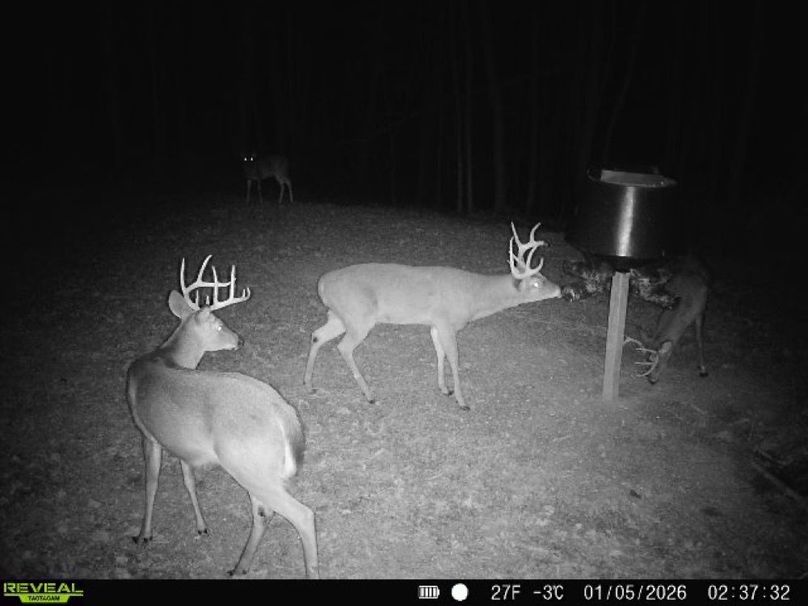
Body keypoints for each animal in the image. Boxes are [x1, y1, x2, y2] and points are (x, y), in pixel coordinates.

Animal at [126, 255, 318, 578]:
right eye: (219, 325)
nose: (240, 340)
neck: (165, 356)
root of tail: (284, 413)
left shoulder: (146, 432)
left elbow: (151, 483)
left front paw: (144, 534)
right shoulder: (181, 446)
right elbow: (188, 479)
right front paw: (201, 527)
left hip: (248, 466)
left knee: (301, 514)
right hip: (259, 470)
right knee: (263, 512)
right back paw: (239, 567)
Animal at [303, 222, 562, 410]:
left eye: (544, 277)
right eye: (537, 283)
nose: (560, 289)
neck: (474, 297)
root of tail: (322, 283)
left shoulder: (435, 324)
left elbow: (440, 353)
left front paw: (444, 389)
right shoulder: (447, 322)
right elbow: (454, 358)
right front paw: (462, 401)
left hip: (339, 316)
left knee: (317, 335)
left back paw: (309, 384)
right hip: (359, 317)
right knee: (343, 347)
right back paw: (369, 395)